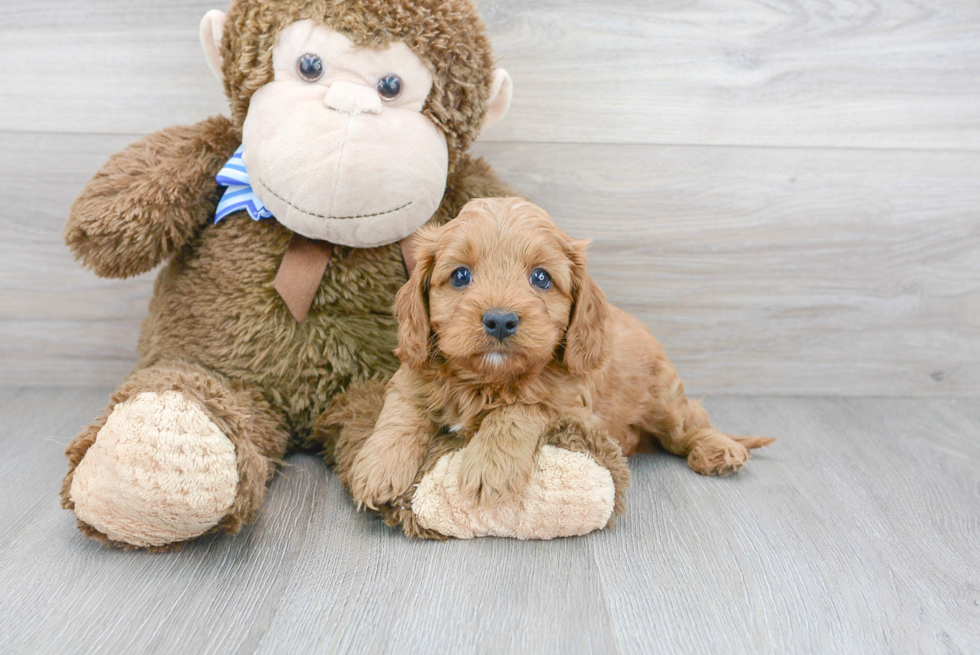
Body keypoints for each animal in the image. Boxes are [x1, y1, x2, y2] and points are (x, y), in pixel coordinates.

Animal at [350, 197, 772, 510]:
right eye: (460, 276)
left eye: (540, 278)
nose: (500, 321)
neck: (488, 380)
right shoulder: (413, 373)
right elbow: (401, 413)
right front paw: (379, 467)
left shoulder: (568, 405)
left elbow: (518, 410)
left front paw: (489, 464)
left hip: (664, 398)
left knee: (690, 424)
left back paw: (719, 449)